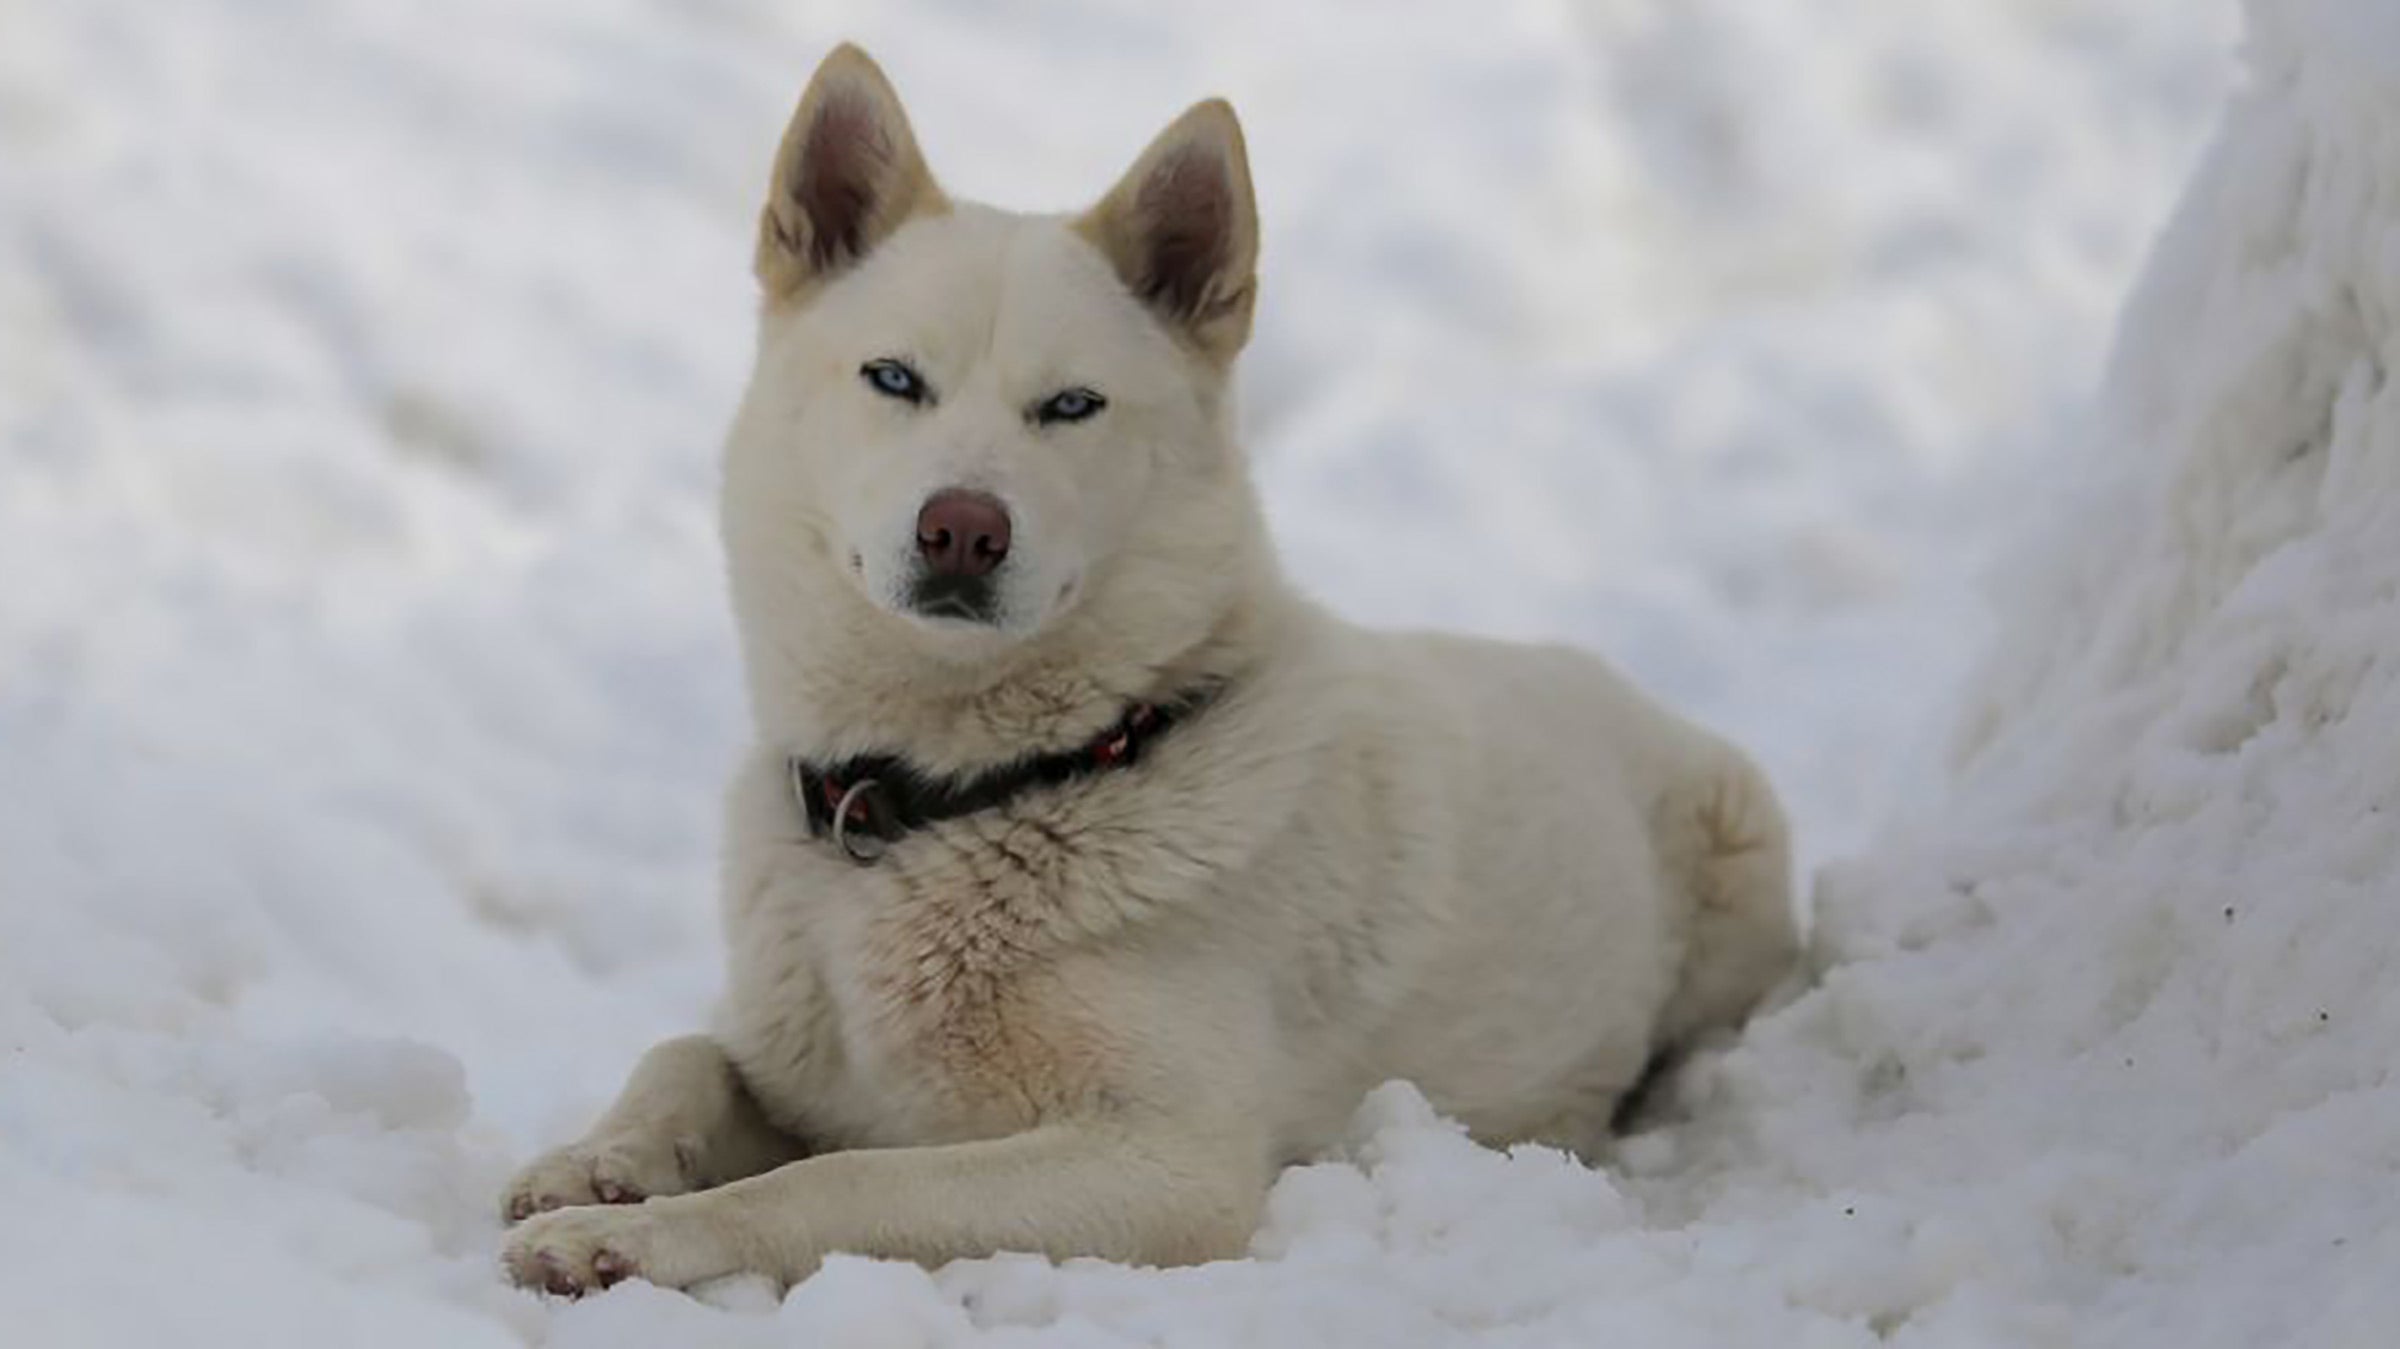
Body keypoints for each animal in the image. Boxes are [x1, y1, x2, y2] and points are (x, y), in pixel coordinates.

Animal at [496, 44, 1795, 1296]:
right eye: (895, 379)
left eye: (1072, 405)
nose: (961, 528)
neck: (965, 795)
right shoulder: (794, 1055)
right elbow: (686, 1053)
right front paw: (596, 1160)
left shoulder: (1166, 1161)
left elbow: (839, 1177)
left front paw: (631, 1238)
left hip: (1739, 870)